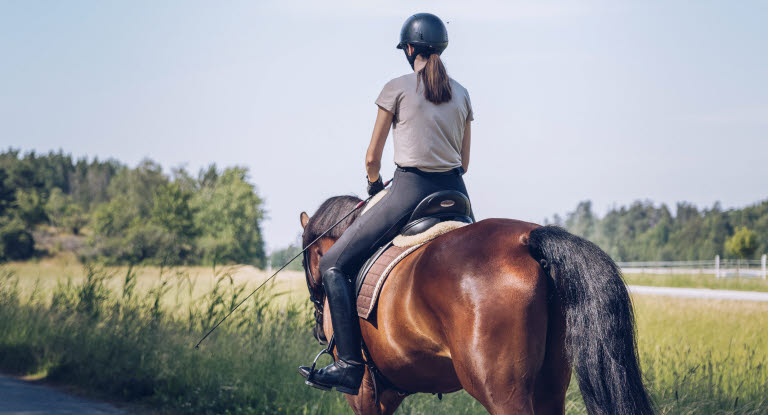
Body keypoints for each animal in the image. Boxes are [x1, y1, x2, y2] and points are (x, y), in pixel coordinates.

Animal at [300, 196, 656, 415]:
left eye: (306, 261)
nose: (319, 331)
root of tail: (527, 240)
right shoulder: (390, 390)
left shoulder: (363, 392)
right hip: (551, 384)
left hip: (502, 391)